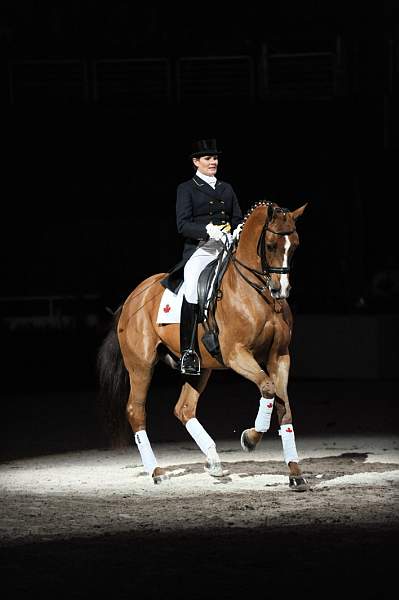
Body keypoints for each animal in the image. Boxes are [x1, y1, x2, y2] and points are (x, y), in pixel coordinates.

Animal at [97, 199, 310, 490]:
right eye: (270, 245)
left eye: (295, 245)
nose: (281, 291)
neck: (259, 294)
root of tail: (132, 297)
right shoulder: (236, 354)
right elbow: (267, 388)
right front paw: (249, 439)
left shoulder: (280, 356)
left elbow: (284, 407)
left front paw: (295, 473)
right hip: (141, 366)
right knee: (136, 411)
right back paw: (157, 472)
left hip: (200, 368)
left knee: (184, 409)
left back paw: (214, 463)